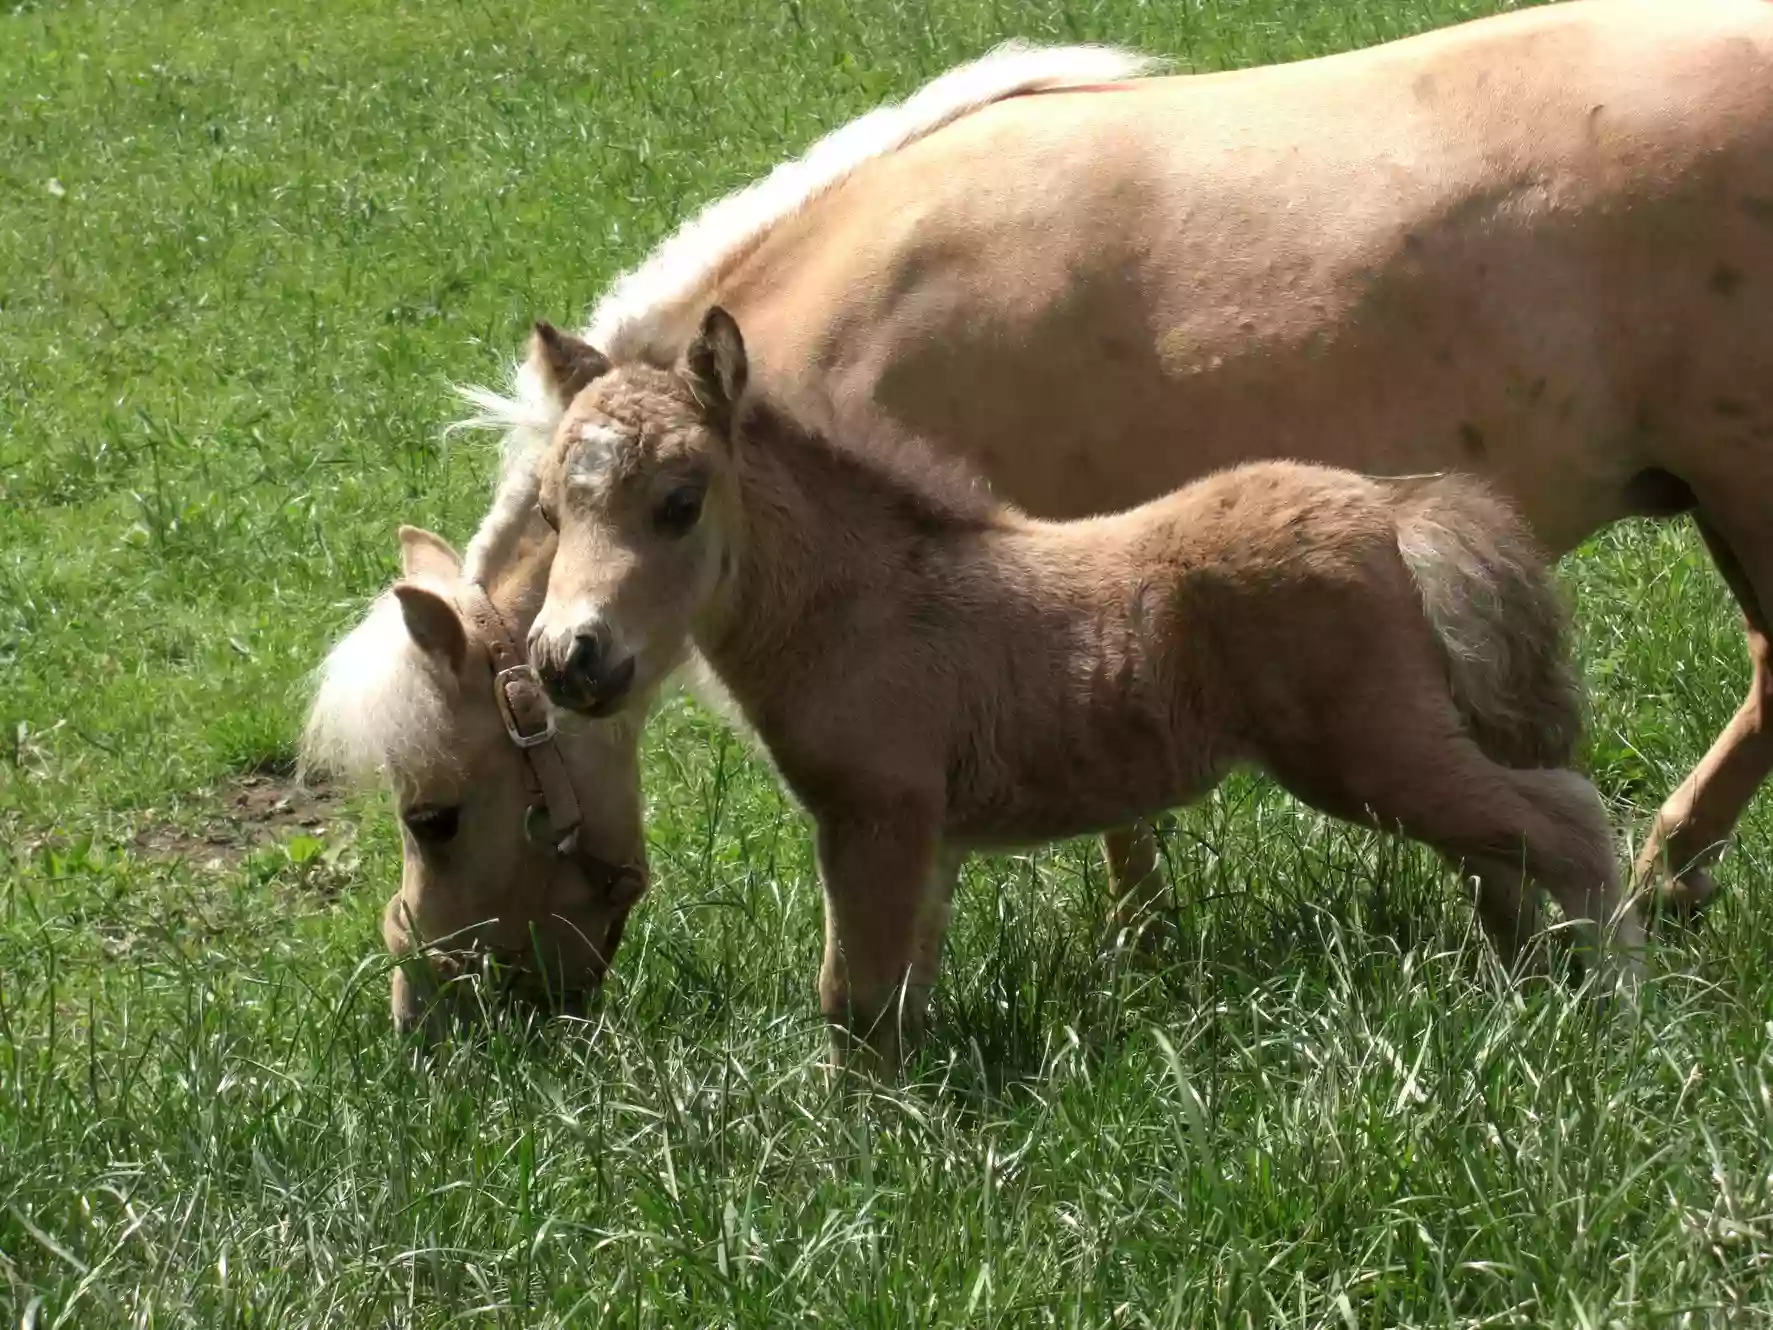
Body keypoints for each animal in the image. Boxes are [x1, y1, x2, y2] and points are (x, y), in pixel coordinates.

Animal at [524, 306, 1645, 1071]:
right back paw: (1526, 990)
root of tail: (1391, 509)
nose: (568, 659)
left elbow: (853, 996)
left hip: (1367, 750)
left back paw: (1629, 1011)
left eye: (679, 502)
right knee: (1505, 850)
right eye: (547, 512)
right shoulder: (924, 834)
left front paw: (858, 1161)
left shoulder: (872, 813)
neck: (863, 602)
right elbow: (904, 991)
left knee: (1565, 821)